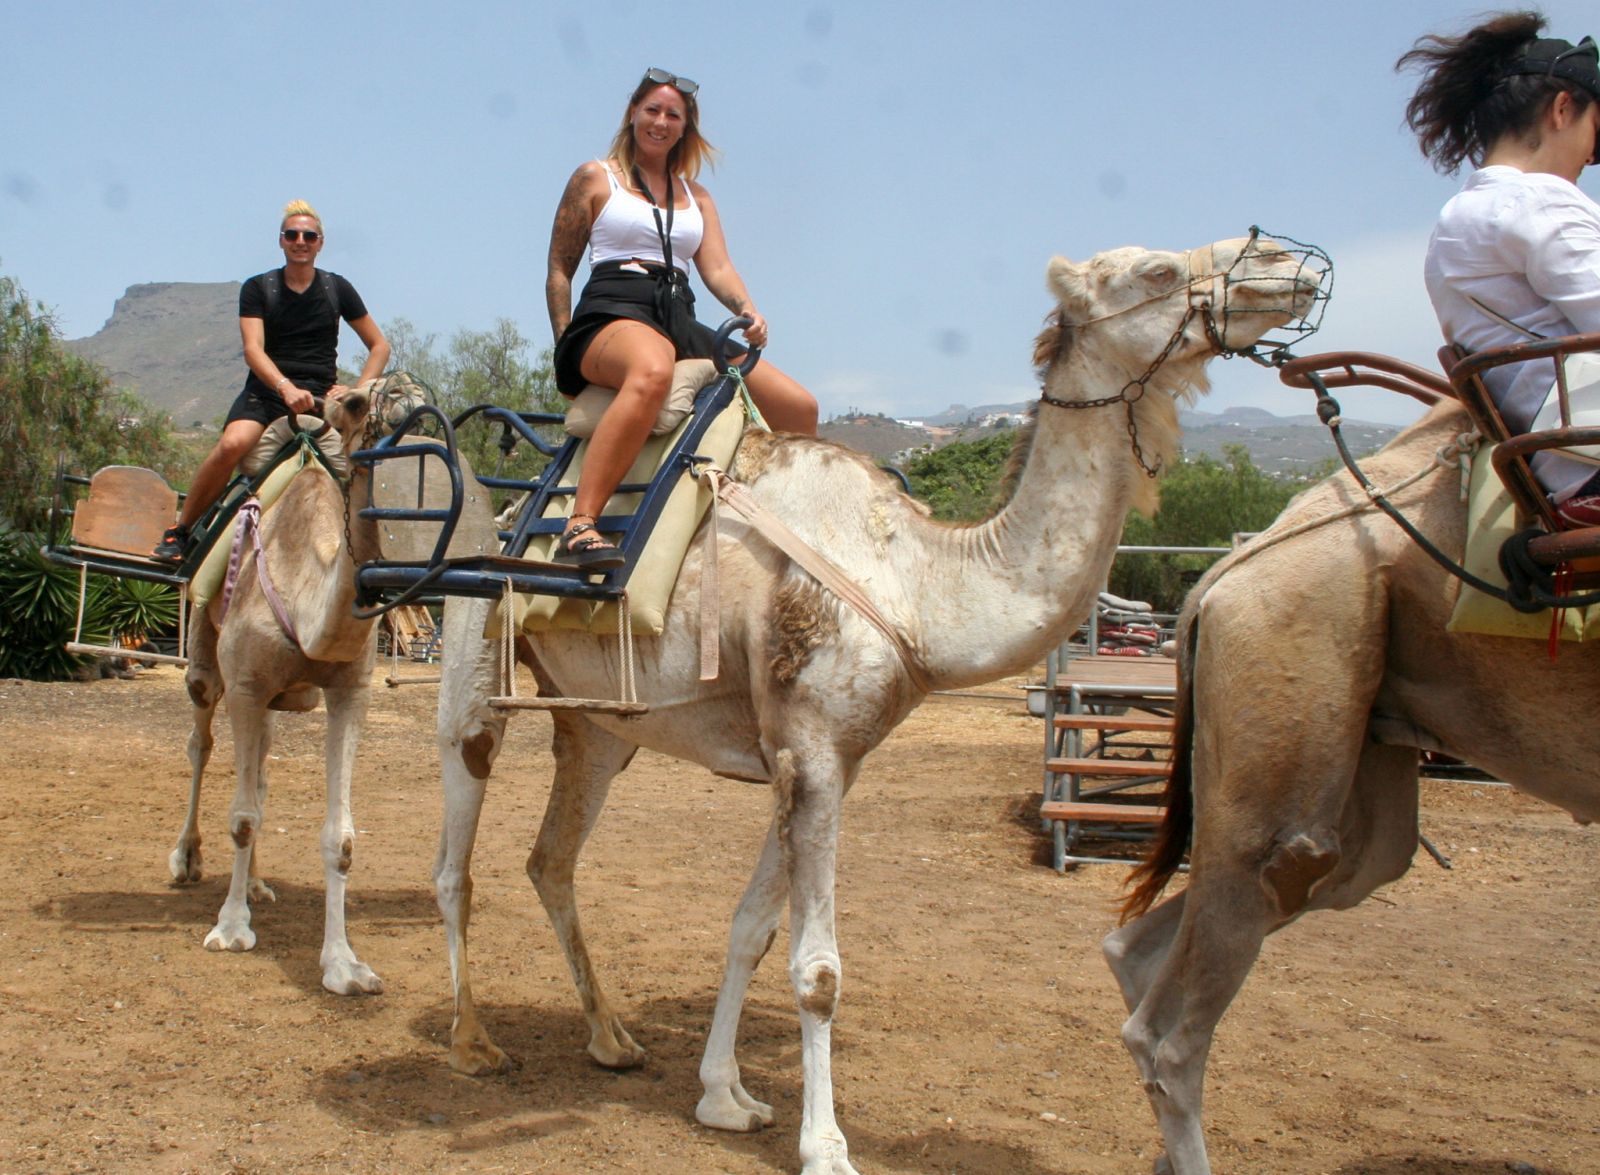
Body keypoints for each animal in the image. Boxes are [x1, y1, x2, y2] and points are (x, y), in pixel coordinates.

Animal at [166, 382, 396, 998]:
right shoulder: (246, 685)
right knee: (201, 746)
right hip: (206, 668)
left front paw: (345, 966)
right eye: (360, 402)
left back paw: (256, 885)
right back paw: (186, 861)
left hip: (270, 703)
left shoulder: (351, 692)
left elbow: (341, 837)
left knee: (262, 775)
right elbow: (242, 815)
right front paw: (229, 929)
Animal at [428, 235, 1324, 1171]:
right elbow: (818, 970)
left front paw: (724, 1095)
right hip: (470, 630)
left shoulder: (821, 757)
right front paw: (825, 1144)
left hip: (601, 722)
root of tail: (518, 500)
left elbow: (752, 927)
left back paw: (609, 1036)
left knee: (552, 856)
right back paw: (472, 1040)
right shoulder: (814, 750)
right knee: (458, 833)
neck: (916, 581)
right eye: (1156, 271)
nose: (1284, 262)